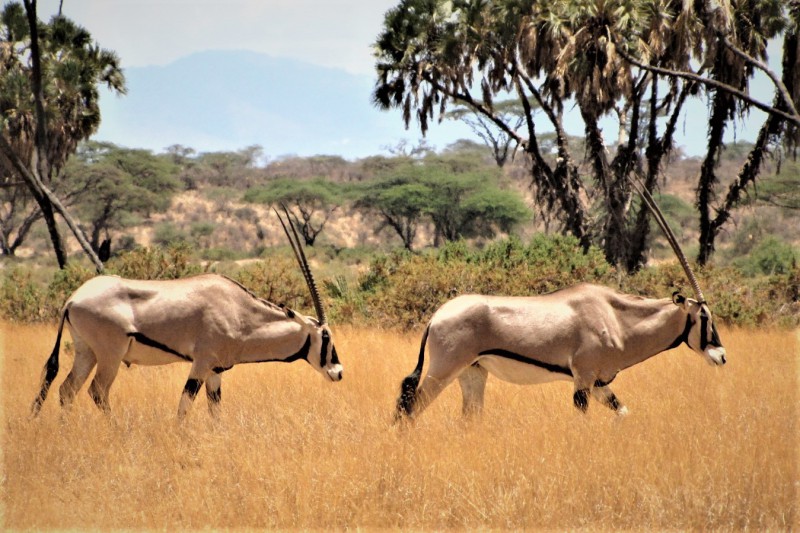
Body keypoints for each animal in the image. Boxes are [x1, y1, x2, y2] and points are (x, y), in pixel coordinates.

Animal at [31, 208, 342, 420]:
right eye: (325, 336)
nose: (338, 372)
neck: (241, 312)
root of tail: (72, 299)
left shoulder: (215, 371)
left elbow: (215, 411)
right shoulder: (201, 364)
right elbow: (184, 406)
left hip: (86, 352)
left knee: (66, 390)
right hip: (110, 355)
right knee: (97, 391)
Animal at [396, 182, 728, 420]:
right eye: (704, 317)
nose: (722, 356)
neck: (615, 317)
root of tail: (437, 316)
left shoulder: (600, 384)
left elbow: (623, 413)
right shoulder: (583, 379)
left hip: (473, 372)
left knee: (468, 418)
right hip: (443, 370)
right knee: (410, 410)